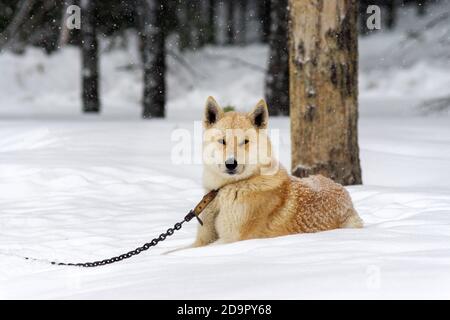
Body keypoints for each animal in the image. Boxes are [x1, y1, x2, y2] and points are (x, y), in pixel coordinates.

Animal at [192, 97, 364, 248]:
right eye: (222, 141)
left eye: (245, 142)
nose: (231, 164)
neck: (224, 190)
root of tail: (344, 192)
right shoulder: (203, 239)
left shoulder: (230, 240)